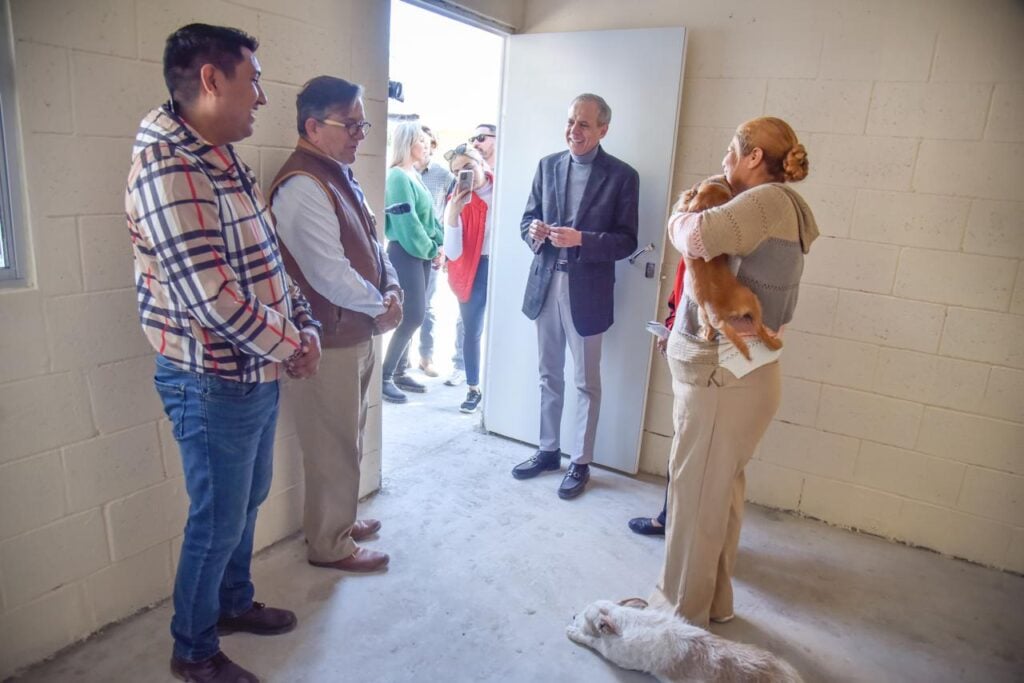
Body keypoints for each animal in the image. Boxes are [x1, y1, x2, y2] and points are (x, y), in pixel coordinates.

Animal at [569, 602, 798, 679]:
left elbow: (592, 641)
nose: (573, 615)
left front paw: (573, 632)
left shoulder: (615, 655)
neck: (627, 622)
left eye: (583, 614)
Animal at [675, 174, 778, 360]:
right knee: (758, 328)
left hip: (703, 315)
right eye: (726, 191)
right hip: (751, 298)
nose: (723, 176)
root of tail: (714, 311)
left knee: (708, 333)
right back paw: (773, 342)